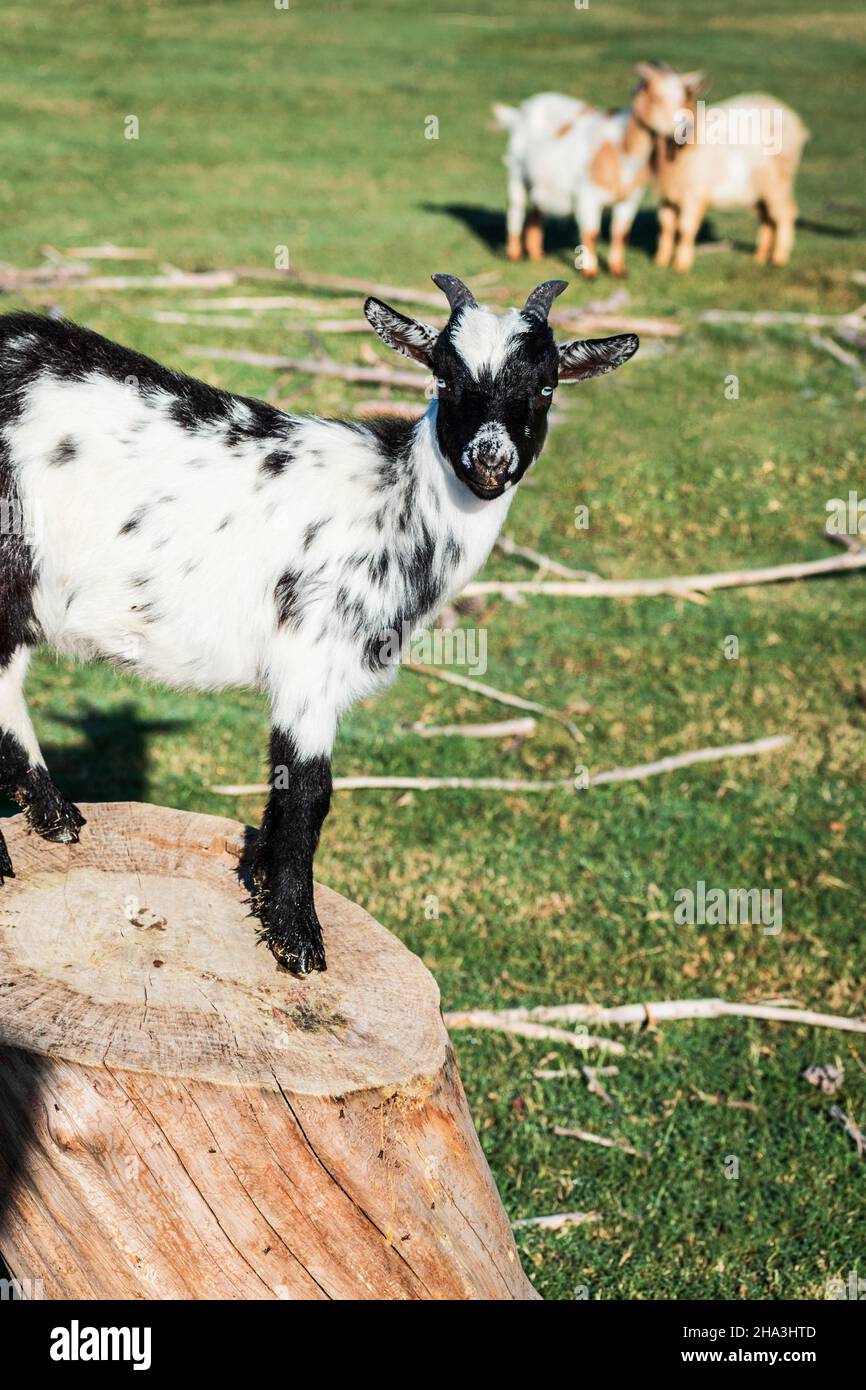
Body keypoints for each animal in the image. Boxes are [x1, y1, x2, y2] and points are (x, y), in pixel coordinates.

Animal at [0, 278, 638, 973]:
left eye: (547, 386)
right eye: (444, 377)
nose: (489, 461)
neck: (396, 508)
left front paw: (259, 882)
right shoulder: (310, 656)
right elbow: (309, 792)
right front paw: (298, 937)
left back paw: (55, 818)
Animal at [494, 63, 699, 277]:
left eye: (683, 97)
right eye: (656, 97)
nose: (685, 129)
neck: (622, 149)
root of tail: (520, 112)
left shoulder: (630, 198)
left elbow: (621, 233)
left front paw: (618, 270)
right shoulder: (587, 196)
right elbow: (591, 234)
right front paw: (590, 272)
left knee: (536, 212)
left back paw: (536, 254)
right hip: (516, 171)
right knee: (515, 208)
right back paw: (514, 254)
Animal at [650, 87, 809, 272]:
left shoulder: (694, 194)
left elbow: (685, 228)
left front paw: (681, 266)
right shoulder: (666, 195)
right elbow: (665, 226)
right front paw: (660, 263)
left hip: (778, 183)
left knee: (785, 214)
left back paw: (779, 258)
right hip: (760, 190)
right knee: (767, 218)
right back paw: (760, 258)